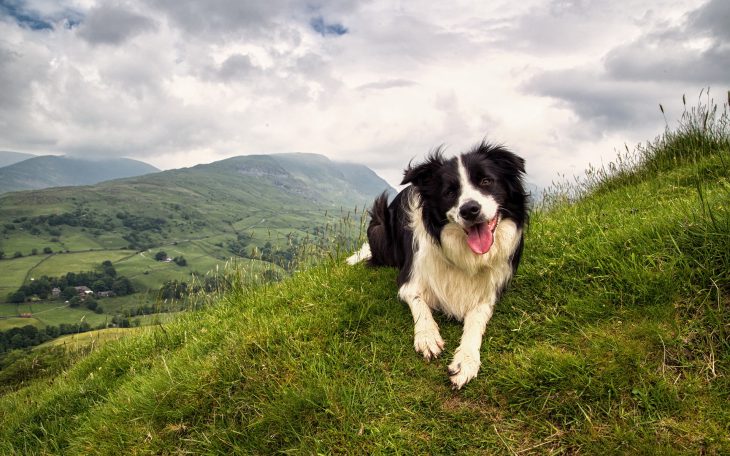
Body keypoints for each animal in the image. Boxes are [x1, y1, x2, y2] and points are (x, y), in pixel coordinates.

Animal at [346, 142, 524, 388]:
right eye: (449, 192)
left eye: (486, 181)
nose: (469, 209)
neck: (464, 254)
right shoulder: (409, 279)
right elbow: (419, 304)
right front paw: (427, 336)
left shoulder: (490, 291)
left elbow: (476, 320)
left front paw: (466, 360)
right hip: (379, 226)